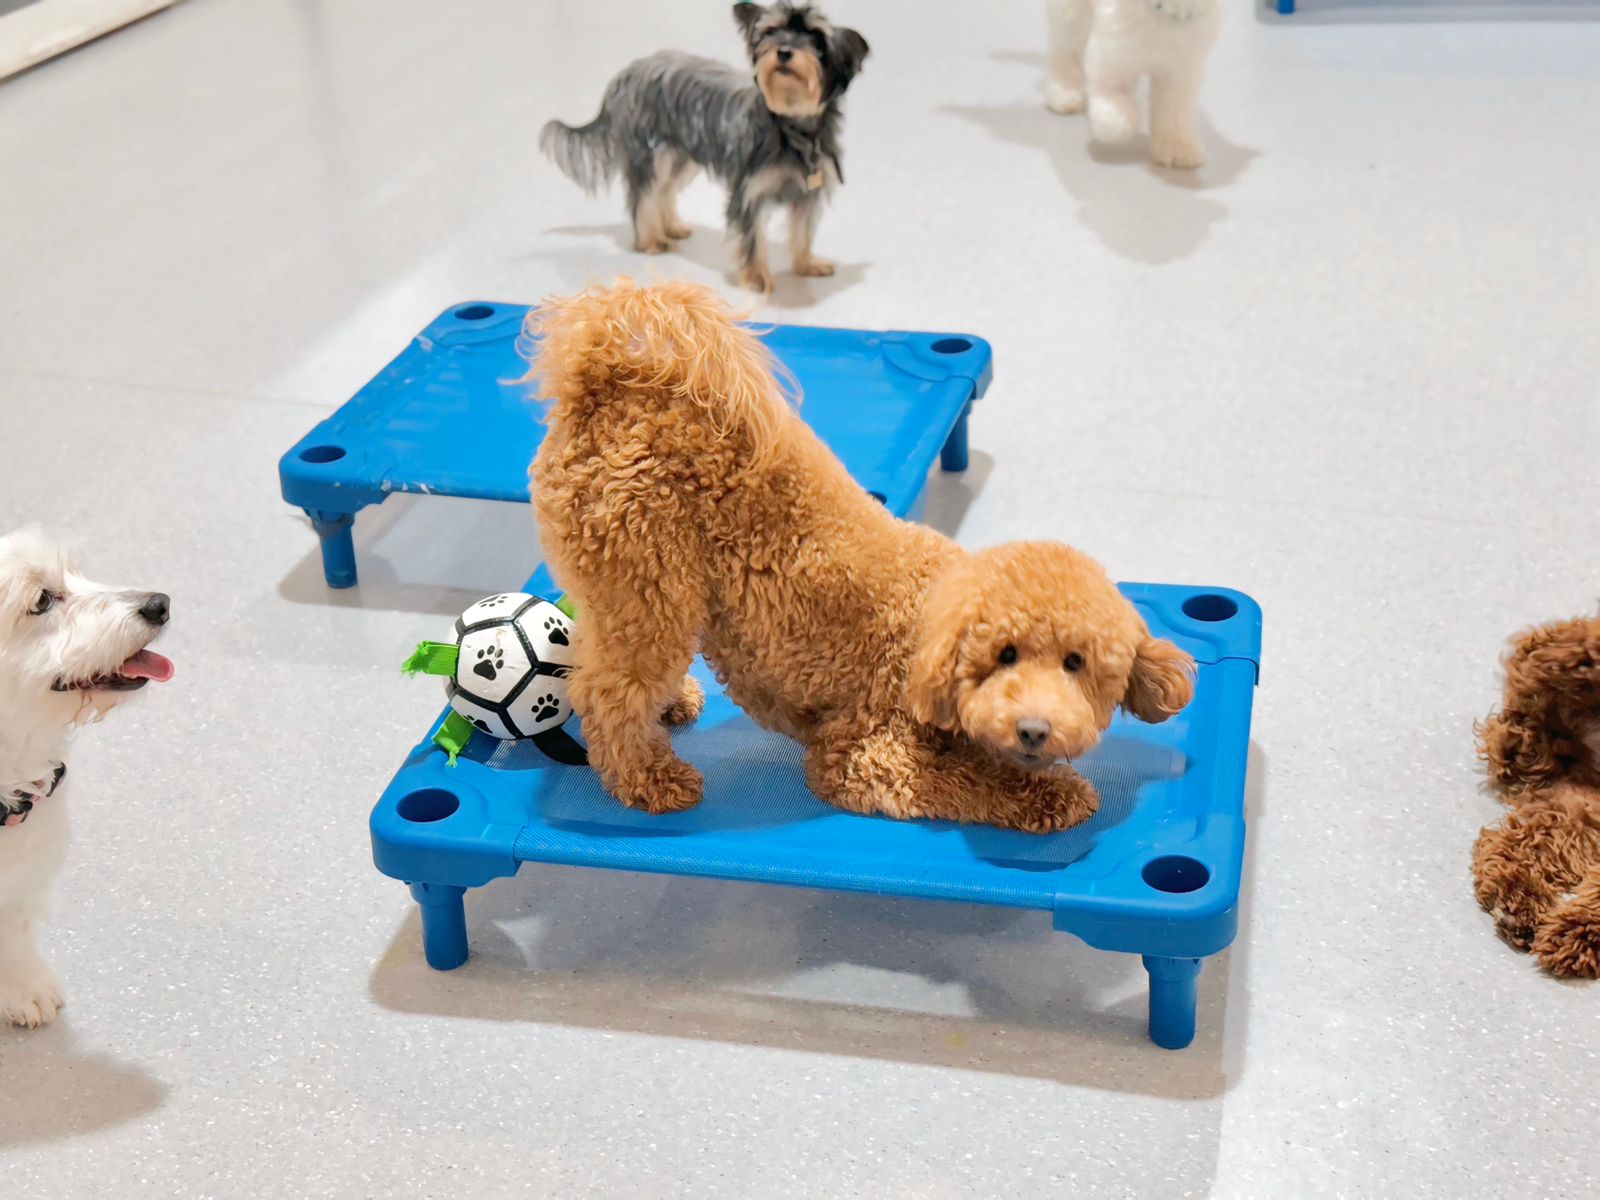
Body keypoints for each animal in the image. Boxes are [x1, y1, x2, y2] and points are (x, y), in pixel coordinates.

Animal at [531, 281, 1196, 838]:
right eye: (1005, 655)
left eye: (1076, 664)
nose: (1034, 729)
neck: (931, 630)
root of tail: (607, 378)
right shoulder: (870, 754)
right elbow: (972, 781)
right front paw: (1051, 795)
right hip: (646, 579)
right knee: (607, 692)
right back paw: (649, 778)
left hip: (624, 586)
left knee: (596, 656)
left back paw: (669, 705)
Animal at [1043, 0, 1216, 170]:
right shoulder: (1111, 60)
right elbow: (1115, 116)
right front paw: (1125, 121)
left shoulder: (1179, 74)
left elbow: (1174, 115)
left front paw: (1177, 148)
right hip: (1070, 14)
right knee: (1065, 49)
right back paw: (1063, 93)